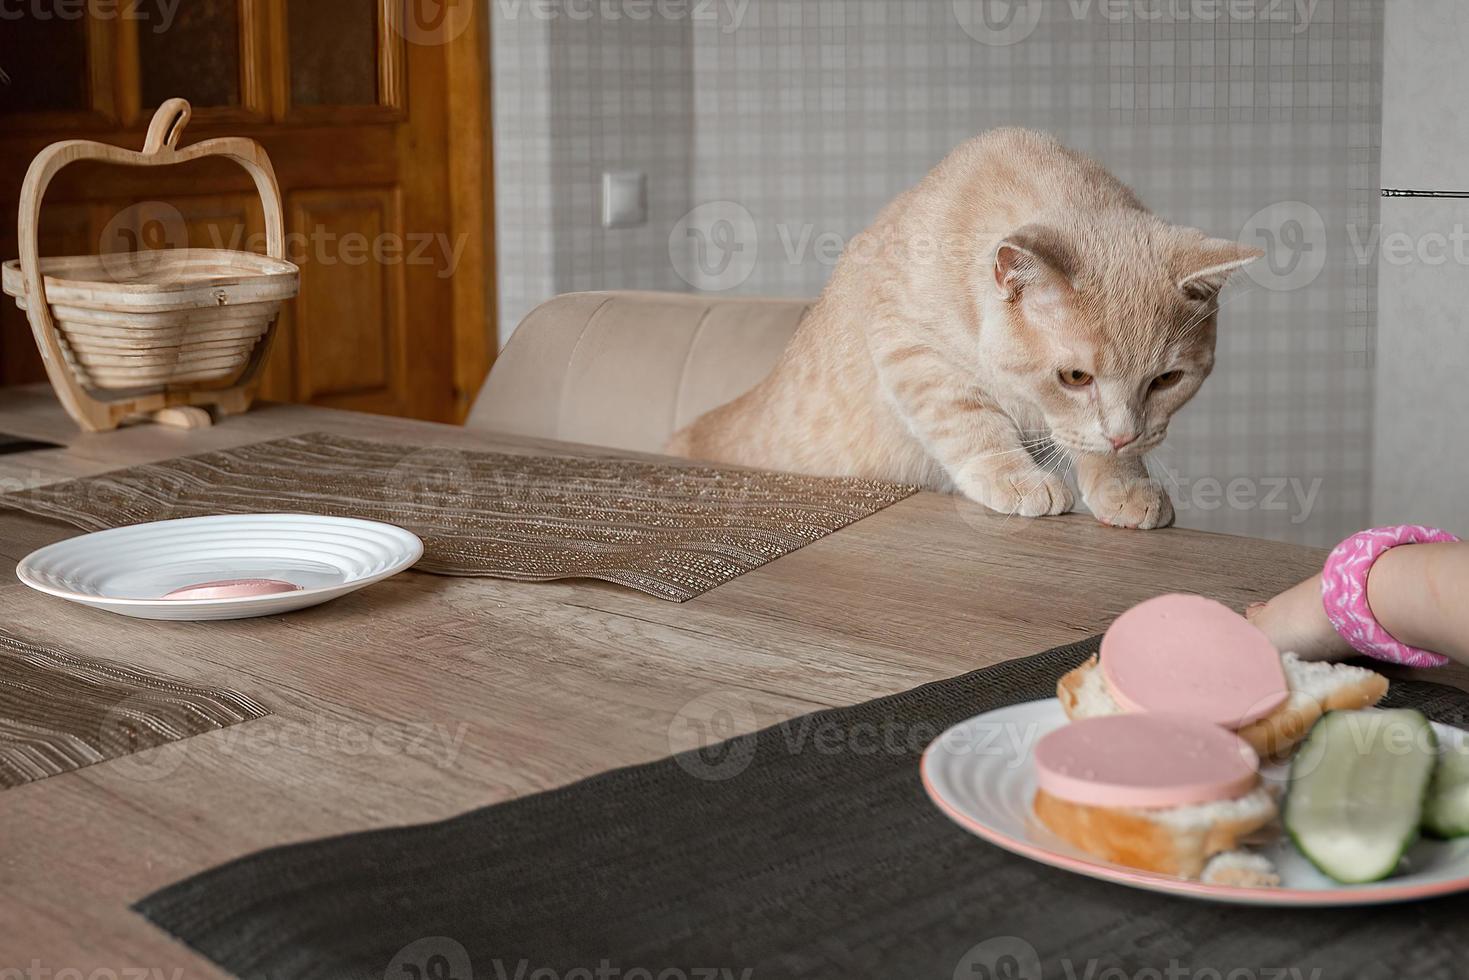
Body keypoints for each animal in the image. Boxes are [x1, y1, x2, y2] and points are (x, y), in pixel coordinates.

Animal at [672, 131, 1257, 531]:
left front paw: (1125, 482)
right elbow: (969, 420)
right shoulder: (910, 345)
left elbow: (1086, 440)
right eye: (1074, 377)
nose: (1124, 436)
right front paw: (1016, 478)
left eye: (1166, 380)